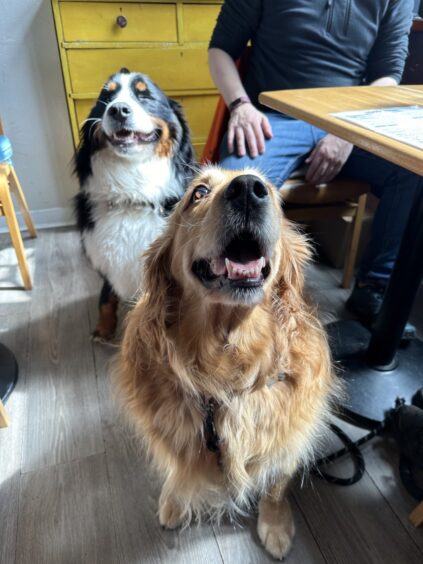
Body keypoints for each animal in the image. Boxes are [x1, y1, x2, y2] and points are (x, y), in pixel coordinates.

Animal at [73, 66, 196, 340]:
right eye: (106, 98)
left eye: (145, 96)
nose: (118, 110)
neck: (132, 194)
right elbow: (105, 298)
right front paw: (104, 328)